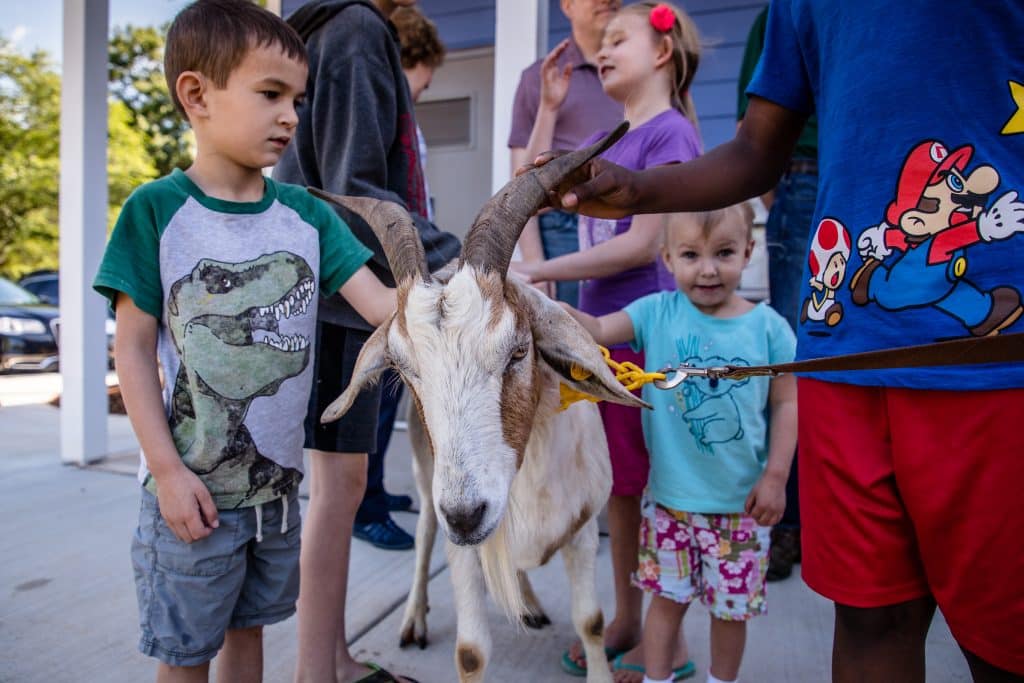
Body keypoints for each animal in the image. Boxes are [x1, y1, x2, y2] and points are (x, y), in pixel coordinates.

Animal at [315, 124, 643, 683]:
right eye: (402, 367)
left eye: (518, 351)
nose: (466, 515)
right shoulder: (463, 550)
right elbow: (470, 651)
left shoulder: (581, 531)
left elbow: (592, 622)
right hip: (426, 478)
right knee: (424, 535)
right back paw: (414, 619)